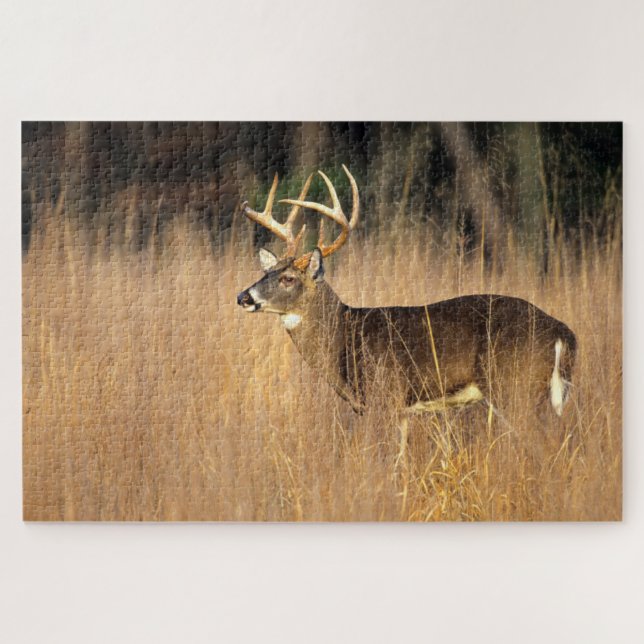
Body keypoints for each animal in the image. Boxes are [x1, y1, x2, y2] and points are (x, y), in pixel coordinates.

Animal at [236, 166, 577, 458]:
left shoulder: (385, 395)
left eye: (288, 278)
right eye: (266, 273)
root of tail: (562, 332)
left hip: (514, 386)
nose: (244, 296)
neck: (345, 337)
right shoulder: (400, 409)